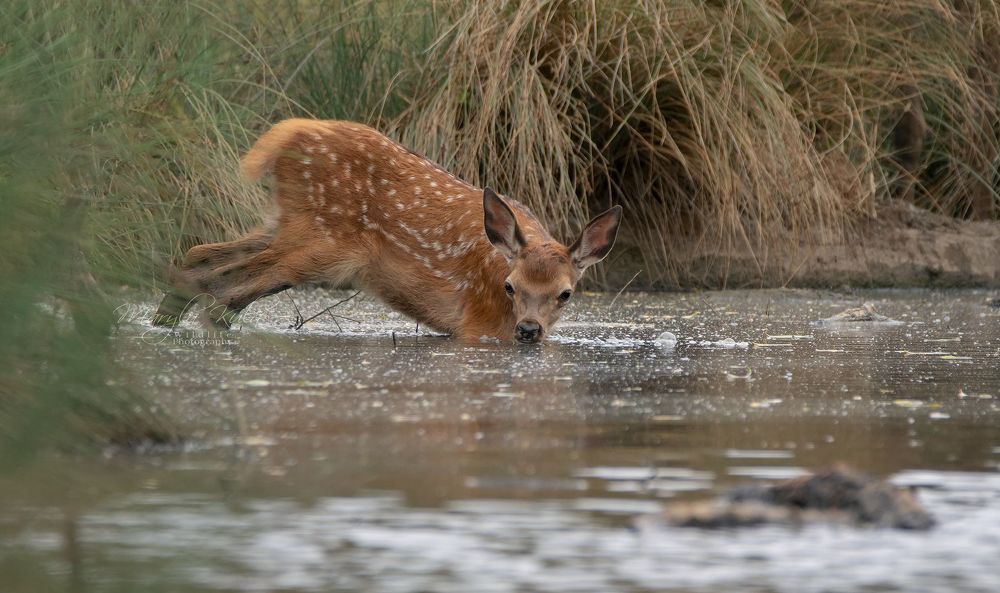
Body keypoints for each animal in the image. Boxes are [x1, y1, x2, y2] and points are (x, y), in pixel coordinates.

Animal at [153, 119, 622, 344]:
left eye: (566, 293)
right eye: (510, 286)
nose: (528, 329)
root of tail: (288, 132)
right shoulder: (478, 325)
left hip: (284, 223)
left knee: (197, 257)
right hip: (323, 242)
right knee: (222, 289)